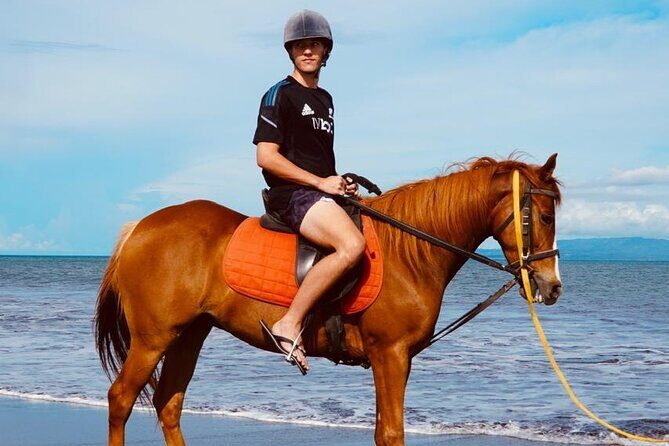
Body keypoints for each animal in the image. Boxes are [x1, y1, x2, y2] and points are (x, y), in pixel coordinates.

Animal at [94, 154, 563, 445]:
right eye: (544, 216)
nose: (552, 285)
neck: (408, 252)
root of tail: (139, 228)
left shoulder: (396, 359)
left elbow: (381, 432)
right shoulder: (390, 355)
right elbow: (392, 433)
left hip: (189, 335)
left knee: (168, 405)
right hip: (153, 338)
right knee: (120, 399)